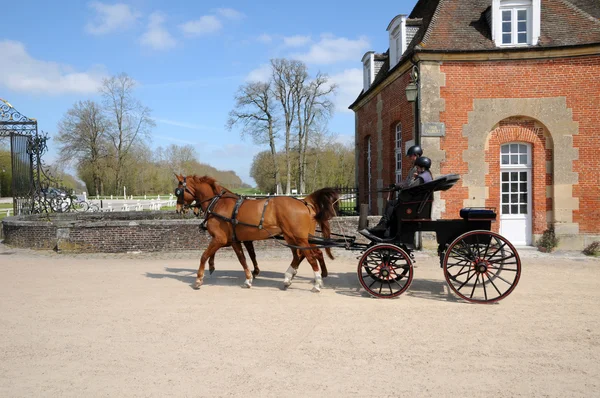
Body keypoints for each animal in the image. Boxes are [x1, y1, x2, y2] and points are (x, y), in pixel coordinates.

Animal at [177, 176, 338, 290]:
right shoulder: (233, 240)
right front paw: (248, 278)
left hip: (298, 238)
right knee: (305, 254)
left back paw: (316, 282)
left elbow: (204, 255)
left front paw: (199, 279)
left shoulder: (220, 239)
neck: (218, 203)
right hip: (296, 237)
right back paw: (292, 277)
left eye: (178, 191)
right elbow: (243, 258)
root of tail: (304, 202)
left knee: (310, 256)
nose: (179, 209)